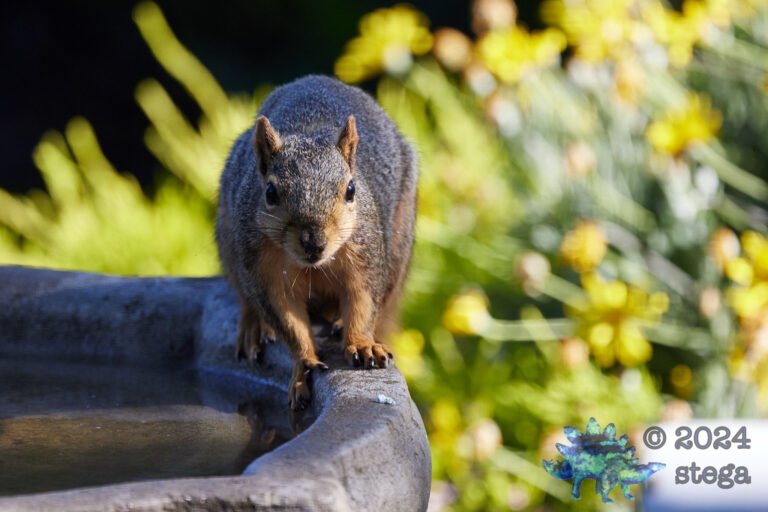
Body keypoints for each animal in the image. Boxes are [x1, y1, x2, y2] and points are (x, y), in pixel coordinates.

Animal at [216, 75, 418, 409]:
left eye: (351, 190)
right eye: (270, 193)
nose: (314, 242)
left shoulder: (365, 255)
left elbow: (363, 302)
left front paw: (362, 344)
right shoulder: (264, 271)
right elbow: (288, 320)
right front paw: (304, 363)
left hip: (400, 246)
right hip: (229, 245)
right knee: (246, 298)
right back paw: (255, 325)